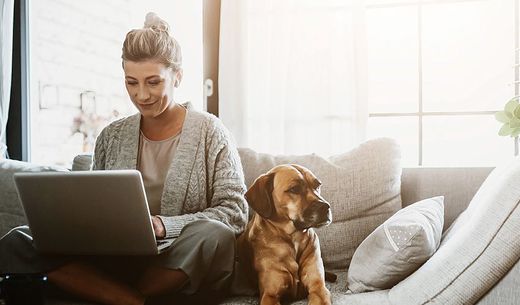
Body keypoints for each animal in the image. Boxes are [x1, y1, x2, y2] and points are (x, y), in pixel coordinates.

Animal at [237, 165, 332, 302]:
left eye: (317, 185)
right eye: (295, 189)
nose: (326, 207)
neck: (294, 239)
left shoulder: (318, 288)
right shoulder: (270, 295)